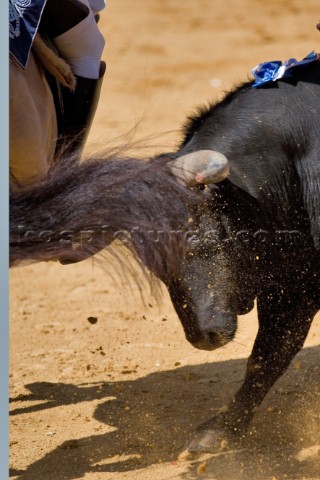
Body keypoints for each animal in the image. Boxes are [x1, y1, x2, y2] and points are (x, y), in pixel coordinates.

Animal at [10, 61, 320, 454]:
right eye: (158, 268)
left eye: (206, 240)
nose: (206, 335)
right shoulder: (289, 287)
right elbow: (265, 358)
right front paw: (223, 430)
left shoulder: (296, 292)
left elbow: (268, 356)